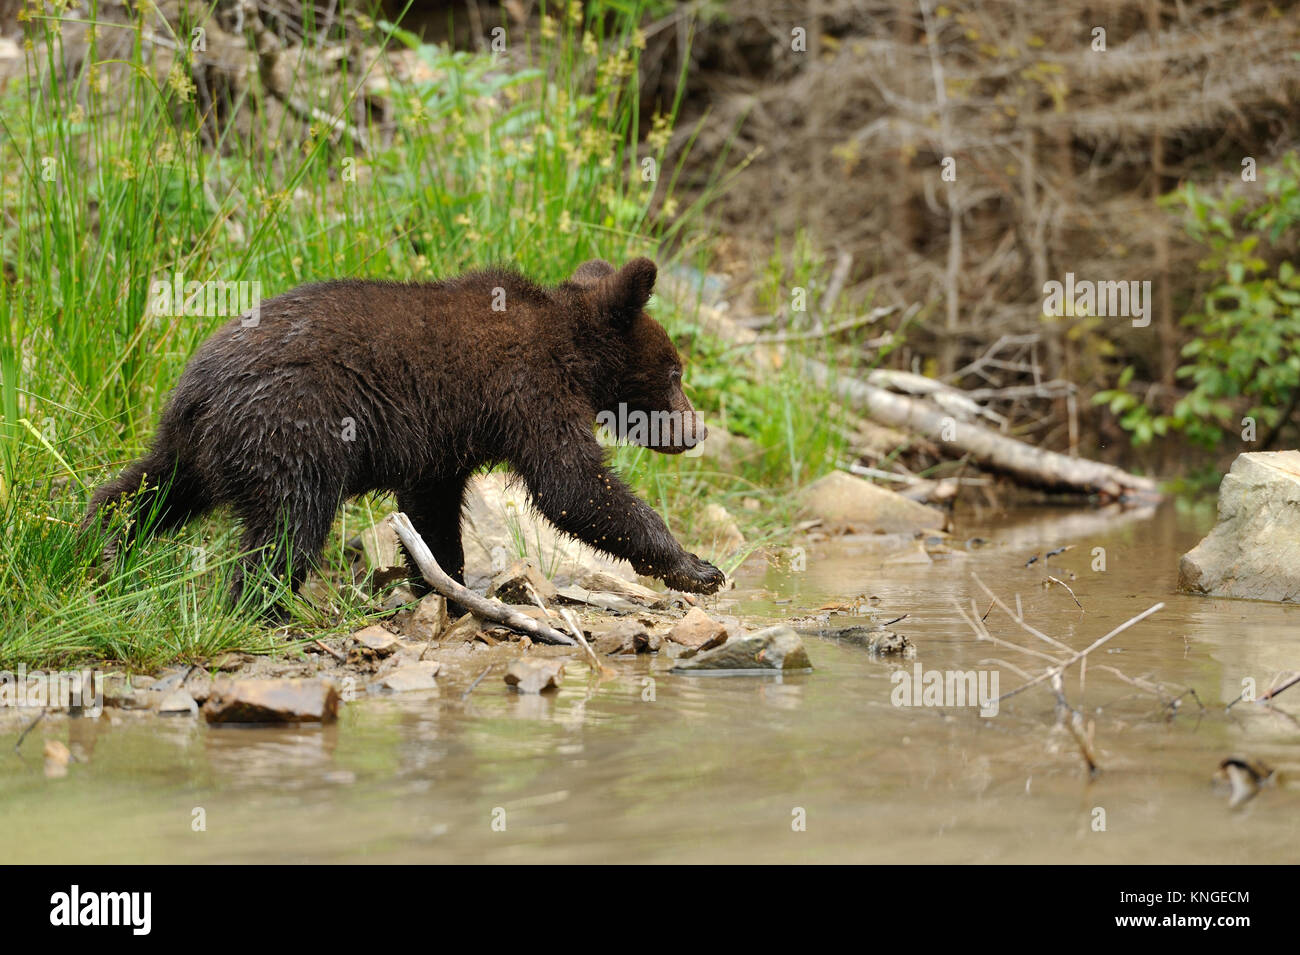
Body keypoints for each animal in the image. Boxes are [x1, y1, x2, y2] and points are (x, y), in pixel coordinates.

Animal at [82, 257, 726, 610]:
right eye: (676, 371)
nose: (696, 429)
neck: (571, 355)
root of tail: (198, 391)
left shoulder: (443, 439)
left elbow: (432, 507)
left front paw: (447, 582)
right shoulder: (524, 391)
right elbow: (573, 485)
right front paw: (696, 567)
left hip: (190, 447)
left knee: (142, 490)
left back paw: (96, 547)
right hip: (292, 428)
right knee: (289, 525)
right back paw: (265, 607)